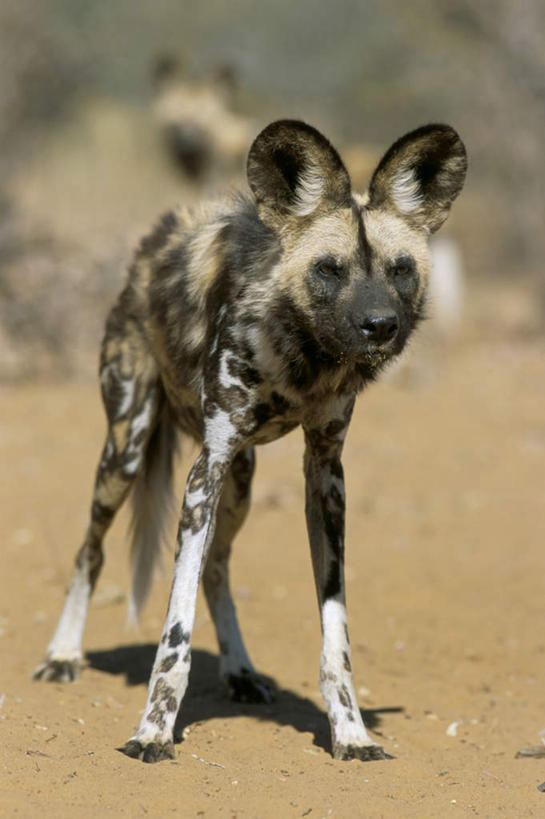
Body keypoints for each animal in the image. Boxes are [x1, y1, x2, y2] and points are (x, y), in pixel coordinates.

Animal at [35, 118, 468, 760]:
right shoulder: (205, 469)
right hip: (128, 453)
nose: (381, 326)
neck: (305, 356)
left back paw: (239, 671)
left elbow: (335, 632)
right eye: (329, 269)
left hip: (240, 481)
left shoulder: (324, 474)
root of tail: (150, 245)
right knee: (90, 550)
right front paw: (153, 730)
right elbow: (175, 629)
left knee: (217, 567)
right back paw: (62, 654)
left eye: (400, 269)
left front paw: (350, 731)